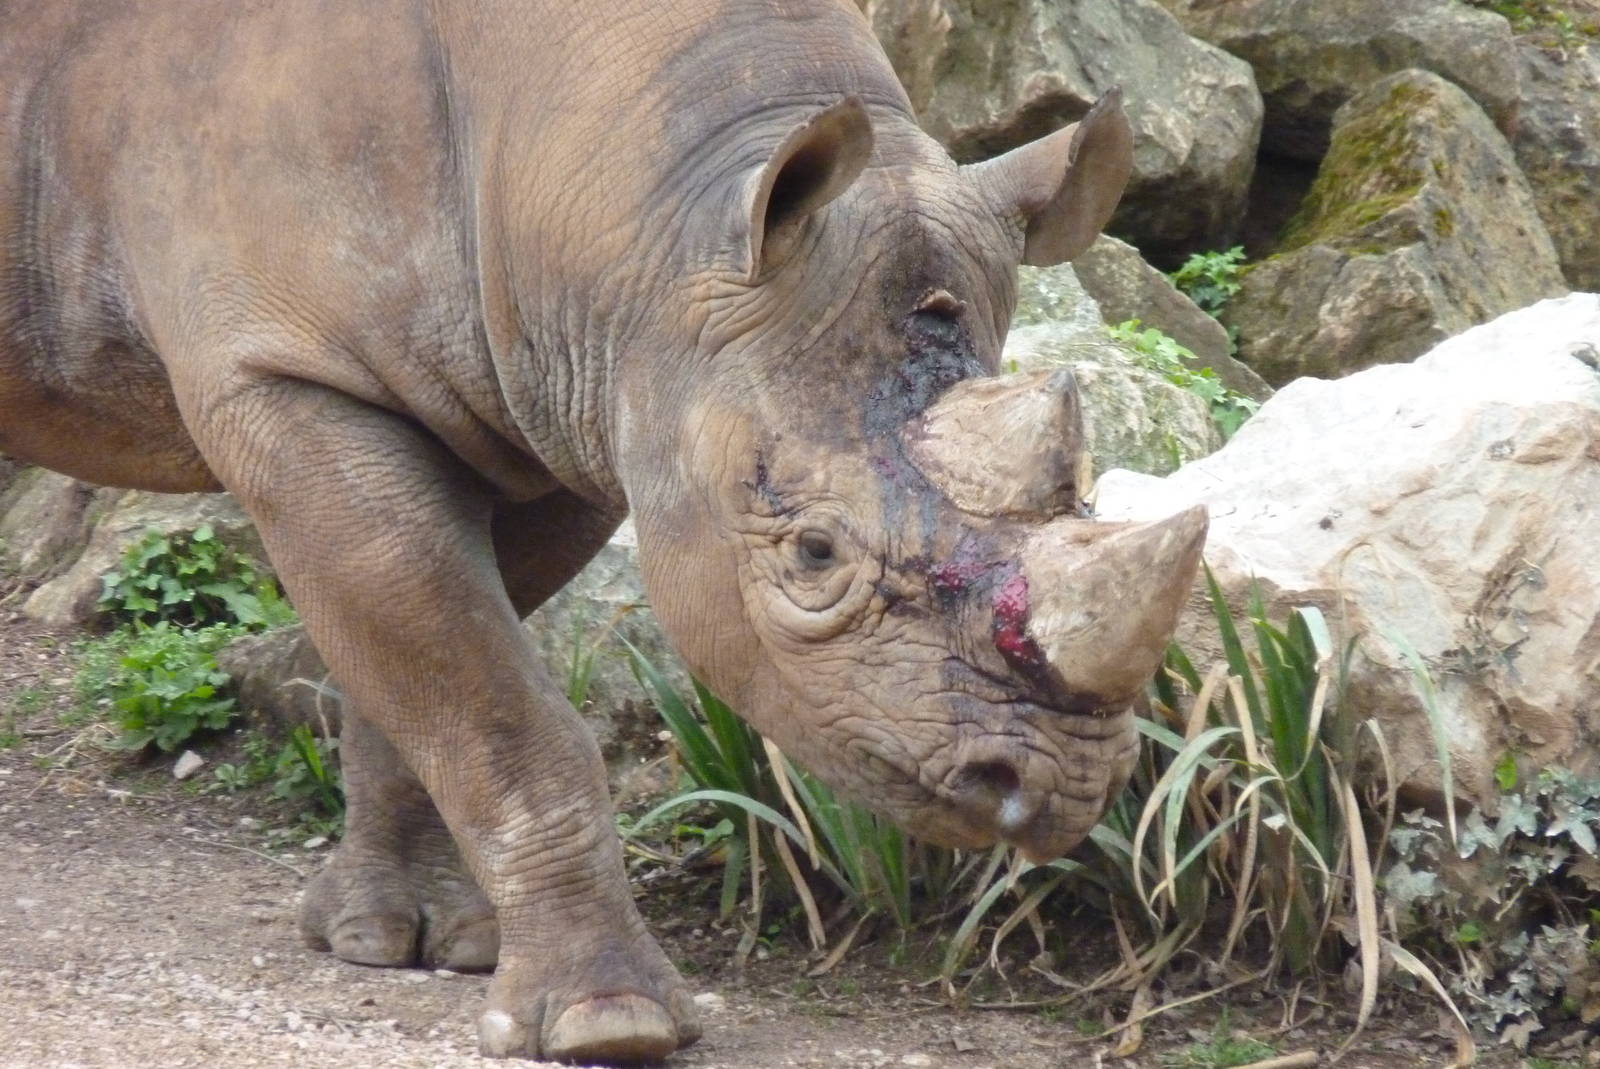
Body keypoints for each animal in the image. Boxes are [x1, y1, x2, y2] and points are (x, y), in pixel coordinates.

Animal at [1, 0, 1206, 1062]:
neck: (659, 205)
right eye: (814, 554)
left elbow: (433, 664)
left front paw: (408, 938)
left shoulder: (564, 384)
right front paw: (604, 1022)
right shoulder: (288, 369)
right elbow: (495, 700)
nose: (1056, 786)